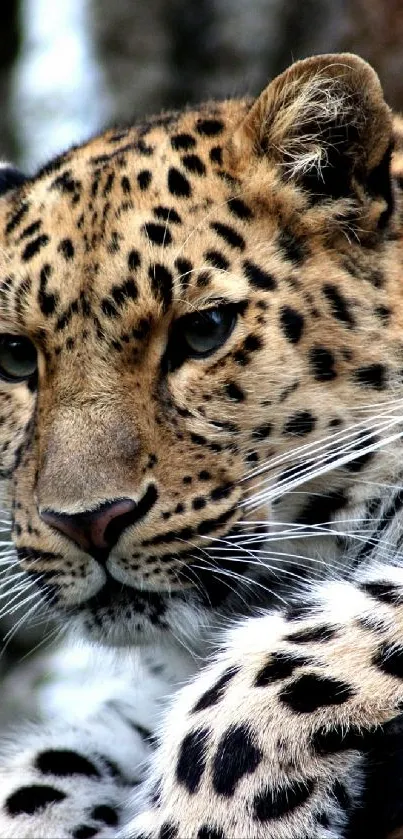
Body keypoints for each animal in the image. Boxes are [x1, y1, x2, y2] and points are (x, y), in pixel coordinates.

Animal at [0, 52, 403, 839]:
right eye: (11, 358)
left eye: (204, 330)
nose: (85, 522)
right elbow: (46, 771)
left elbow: (273, 672)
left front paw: (199, 821)